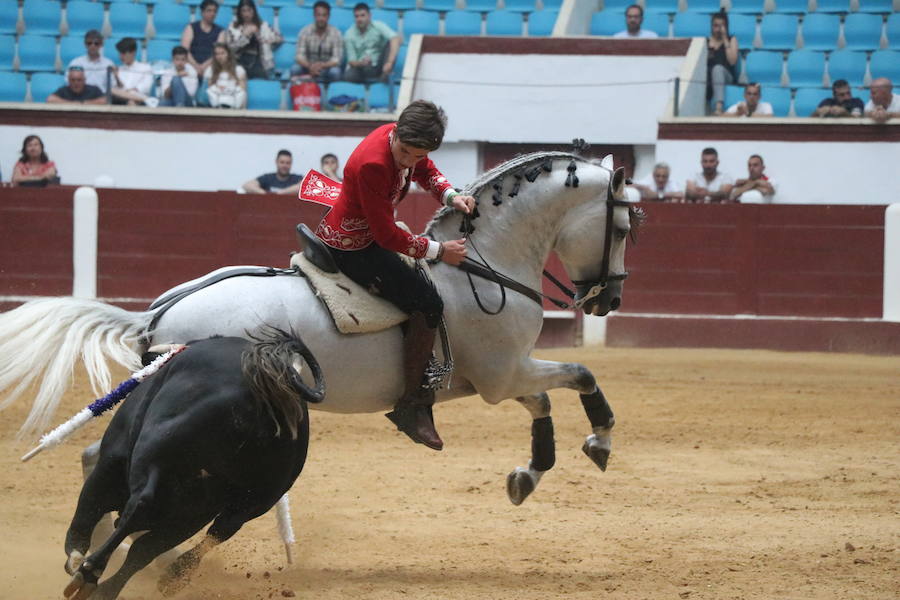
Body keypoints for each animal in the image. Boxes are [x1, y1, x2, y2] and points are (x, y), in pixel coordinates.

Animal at [3, 151, 644, 506]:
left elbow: (547, 400)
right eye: (622, 227)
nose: (610, 298)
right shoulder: (501, 376)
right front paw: (600, 442)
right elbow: (581, 375)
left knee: (97, 456)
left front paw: (527, 476)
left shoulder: (505, 377)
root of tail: (156, 314)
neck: (481, 265)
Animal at [63, 332, 326, 600]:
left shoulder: (111, 461)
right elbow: (146, 547)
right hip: (249, 500)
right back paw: (163, 577)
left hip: (156, 450)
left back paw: (91, 572)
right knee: (215, 531)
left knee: (139, 505)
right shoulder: (194, 511)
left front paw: (77, 559)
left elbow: (88, 511)